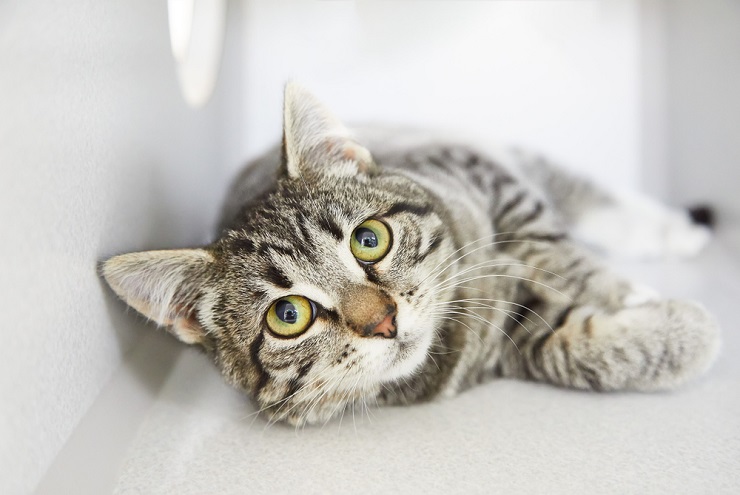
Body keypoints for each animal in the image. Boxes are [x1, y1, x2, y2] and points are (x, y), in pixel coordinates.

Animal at [101, 83, 720, 428]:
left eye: (368, 239)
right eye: (288, 315)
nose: (384, 321)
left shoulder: (493, 183)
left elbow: (550, 249)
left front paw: (626, 293)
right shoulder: (514, 340)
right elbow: (573, 353)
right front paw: (686, 331)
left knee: (582, 195)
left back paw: (675, 230)